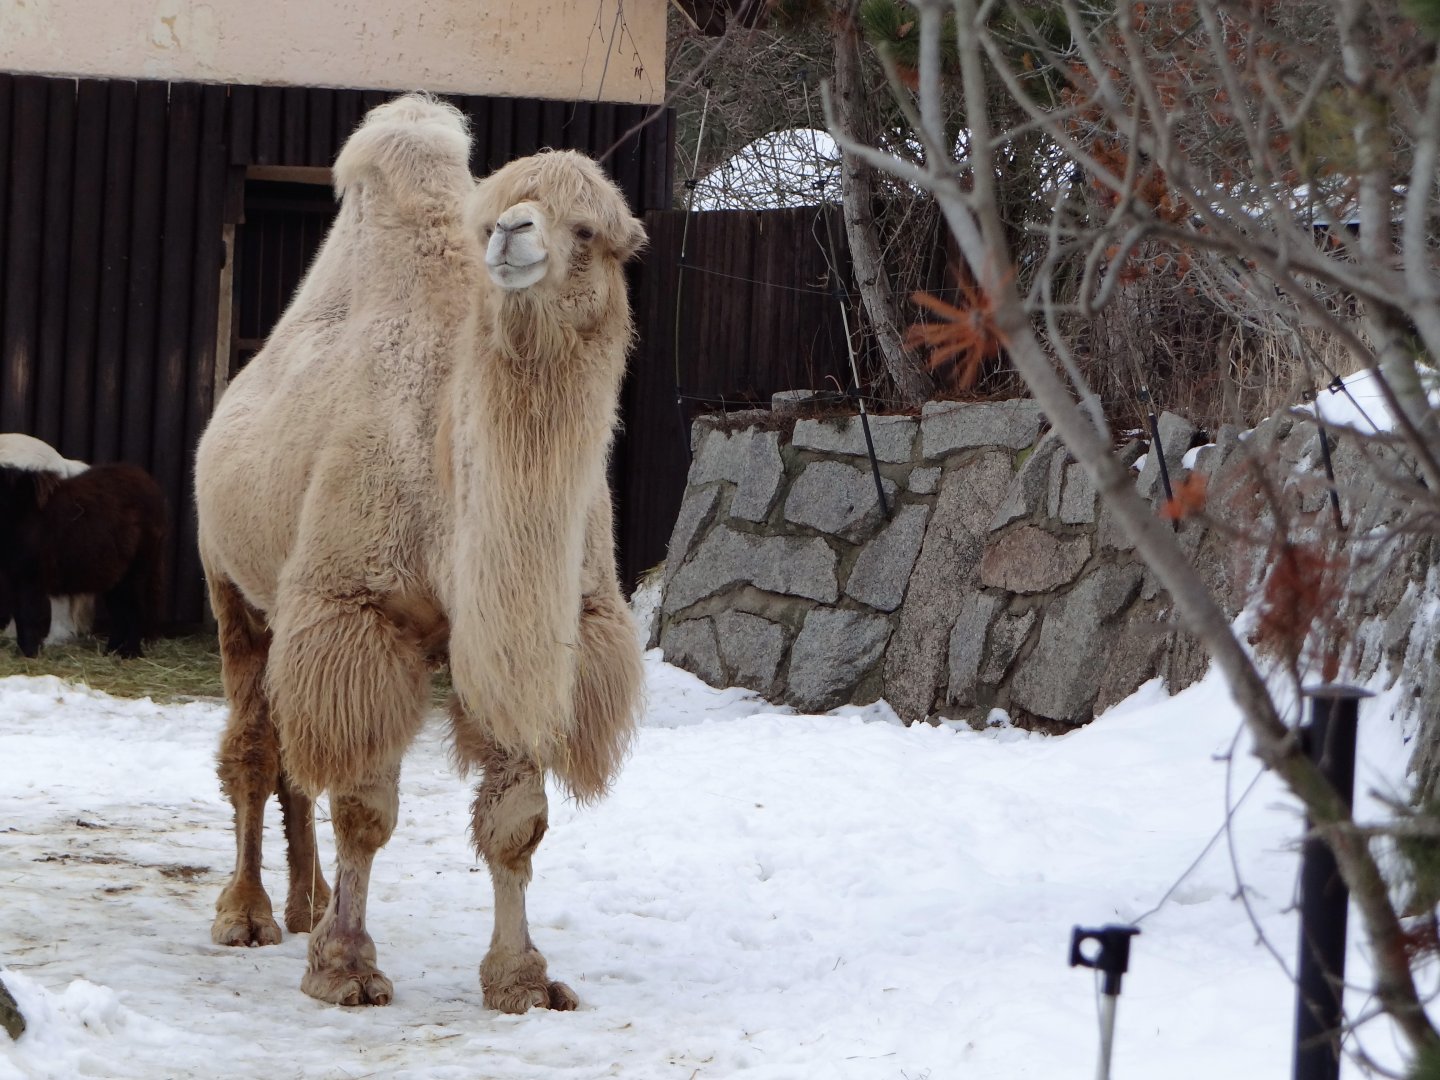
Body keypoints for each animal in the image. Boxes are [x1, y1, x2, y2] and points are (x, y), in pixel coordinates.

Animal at [193, 94, 646, 1011]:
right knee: (255, 748)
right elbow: (365, 808)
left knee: (295, 757)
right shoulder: (359, 612)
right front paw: (345, 967)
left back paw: (304, 904)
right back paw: (248, 914)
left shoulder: (525, 633)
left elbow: (517, 822)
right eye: (498, 208)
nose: (513, 234)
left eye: (589, 229)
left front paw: (522, 979)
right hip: (233, 587)